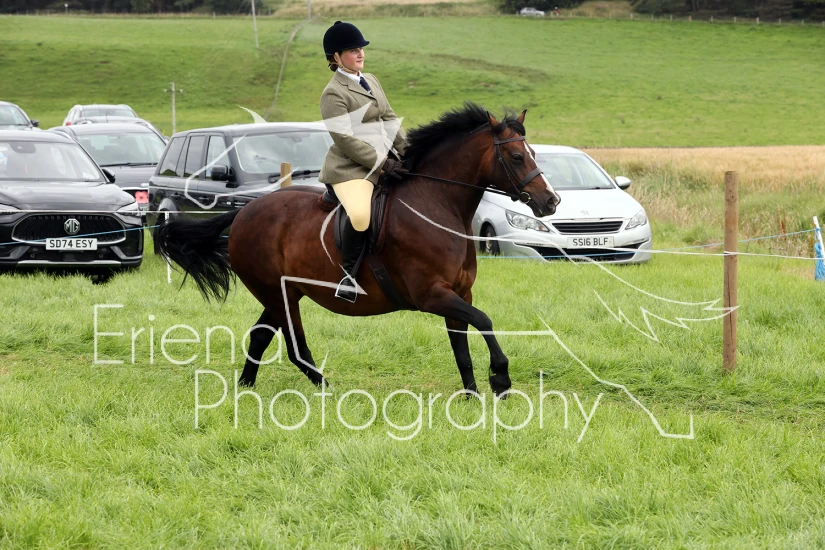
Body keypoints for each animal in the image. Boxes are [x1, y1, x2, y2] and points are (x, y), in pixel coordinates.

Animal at [154, 102, 560, 396]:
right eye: (518, 157)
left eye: (533, 152)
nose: (551, 201)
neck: (436, 204)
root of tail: (243, 212)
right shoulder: (432, 295)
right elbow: (485, 322)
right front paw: (501, 380)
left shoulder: (459, 292)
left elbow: (462, 344)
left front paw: (472, 395)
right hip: (276, 292)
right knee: (292, 344)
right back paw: (324, 389)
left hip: (284, 292)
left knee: (261, 335)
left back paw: (246, 388)